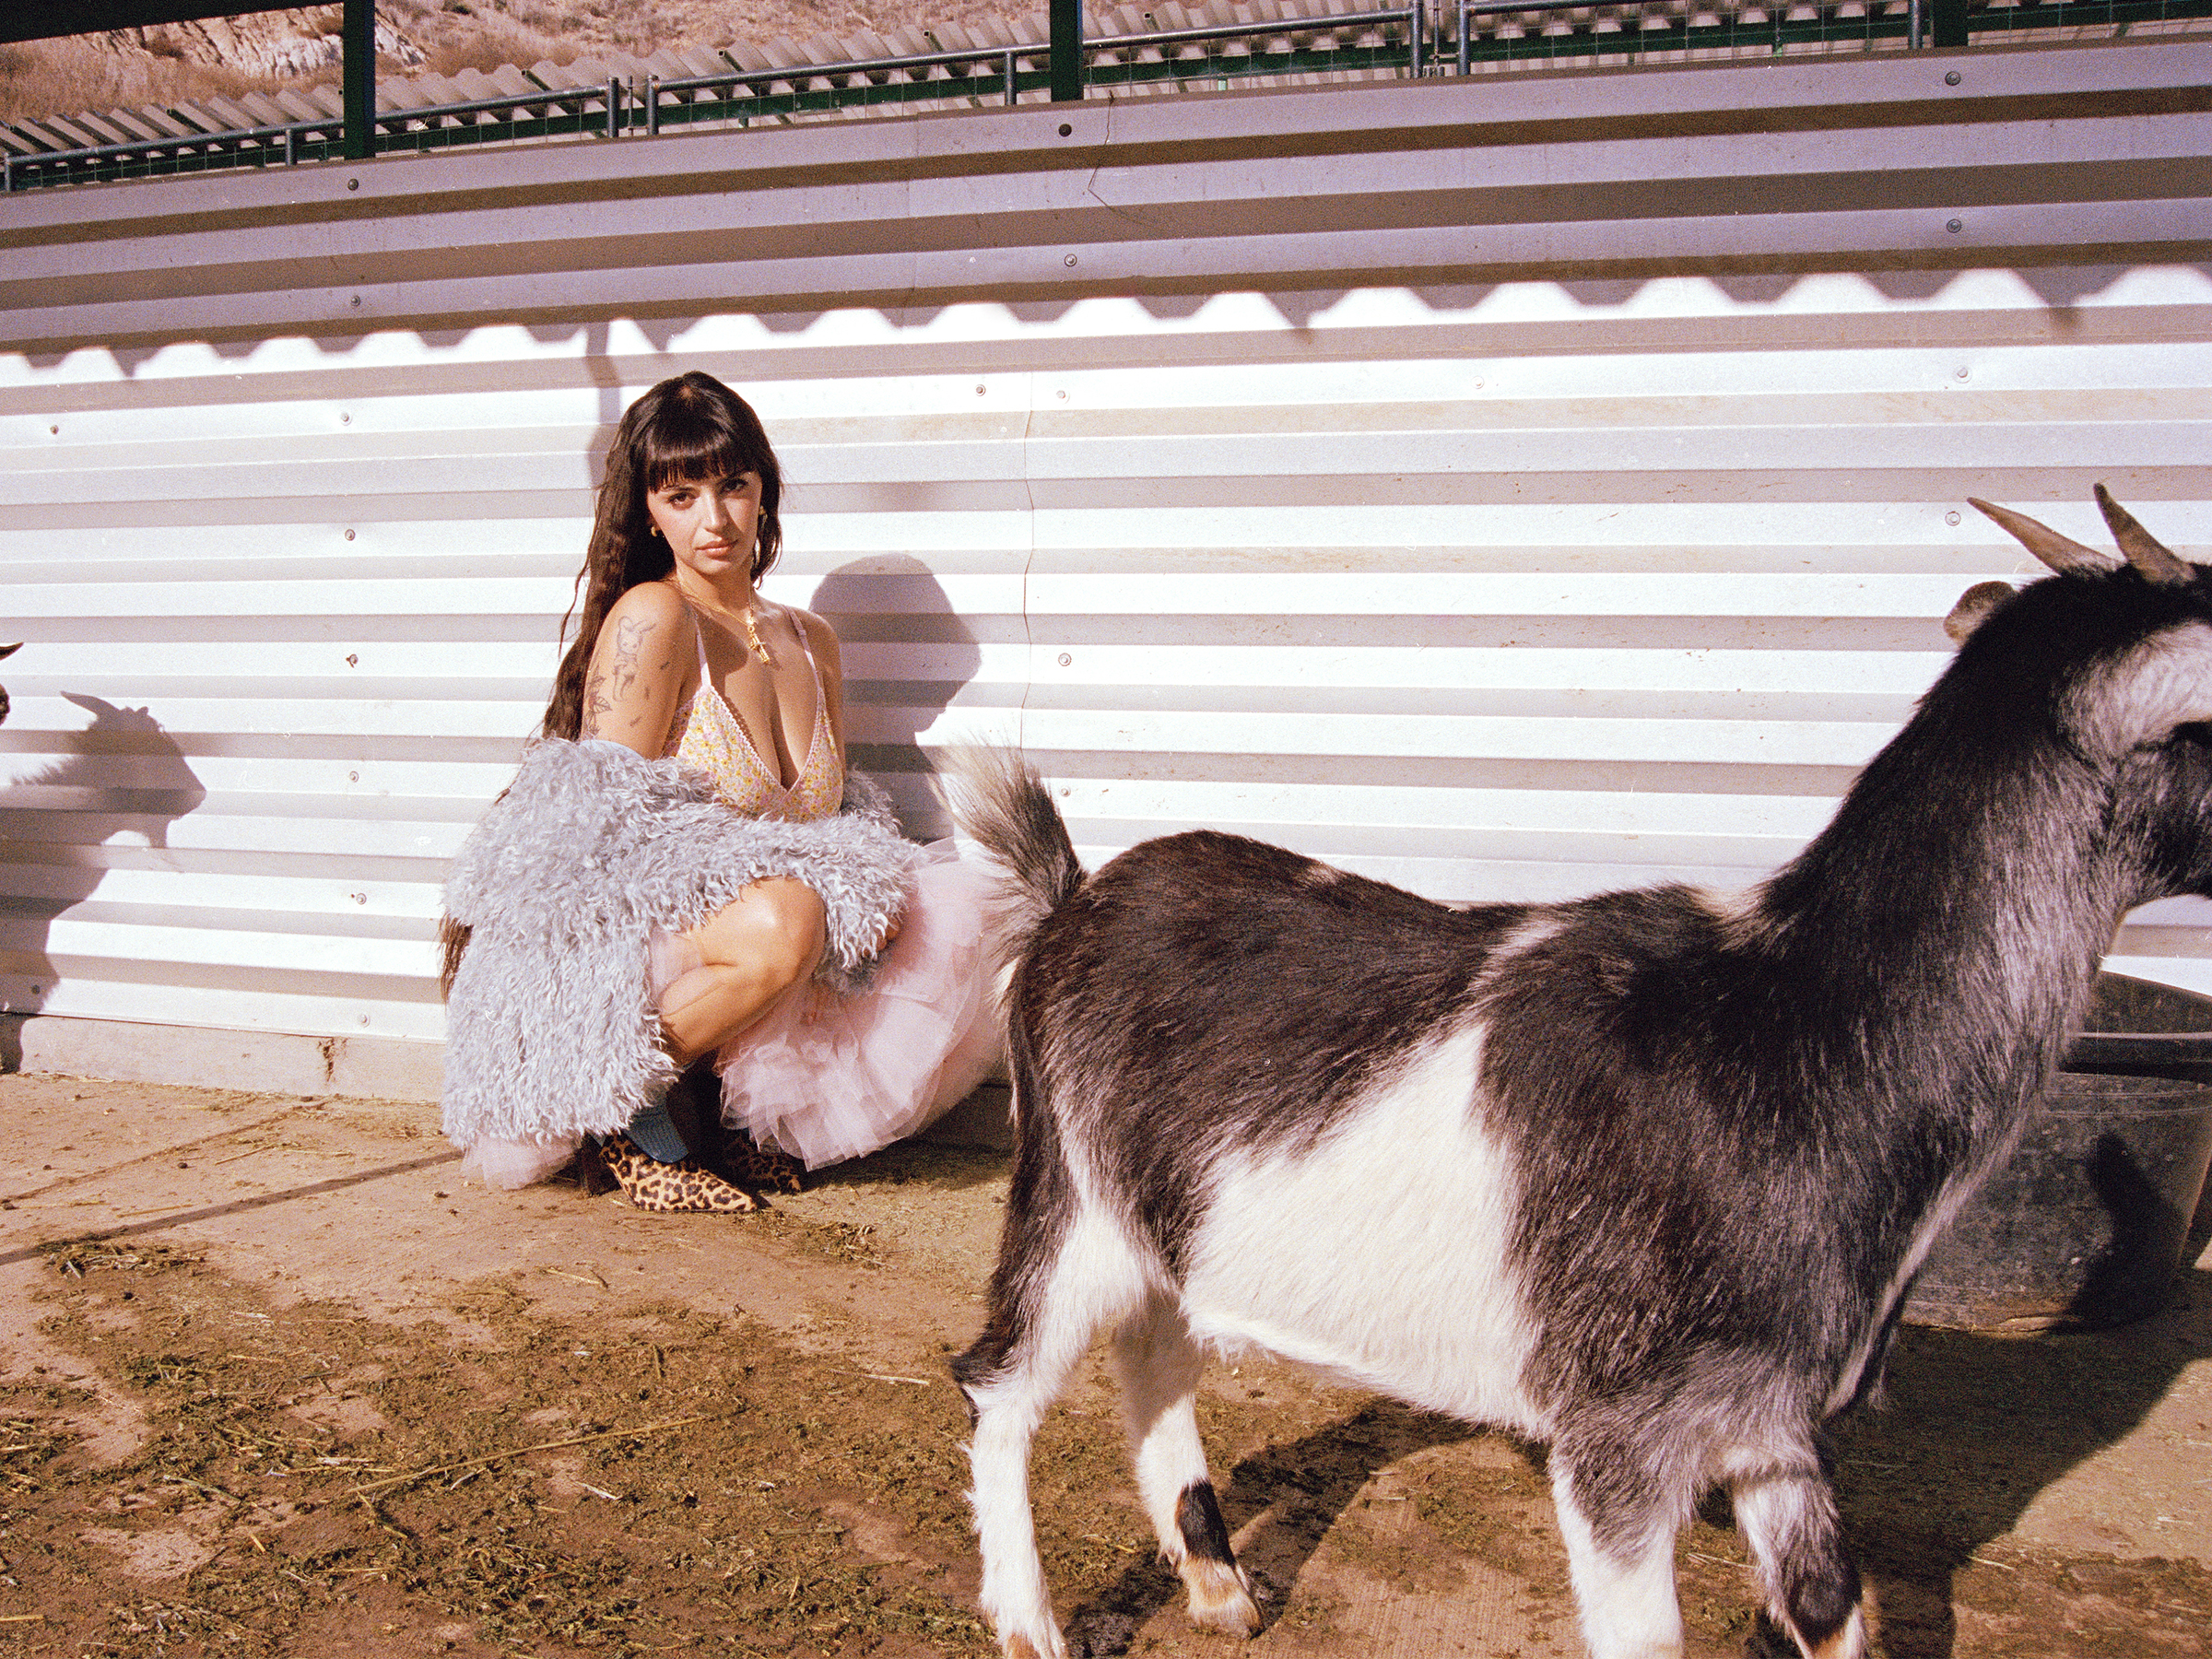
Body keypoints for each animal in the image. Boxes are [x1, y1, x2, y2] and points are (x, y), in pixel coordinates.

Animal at [942, 490, 2212, 1659]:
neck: (1791, 1022)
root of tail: (1073, 895)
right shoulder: (1620, 1440)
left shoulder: (1776, 1428)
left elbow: (1826, 1611)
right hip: (1066, 1191)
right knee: (1000, 1383)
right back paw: (1031, 1624)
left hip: (1164, 1225)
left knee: (1155, 1353)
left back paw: (1216, 1583)